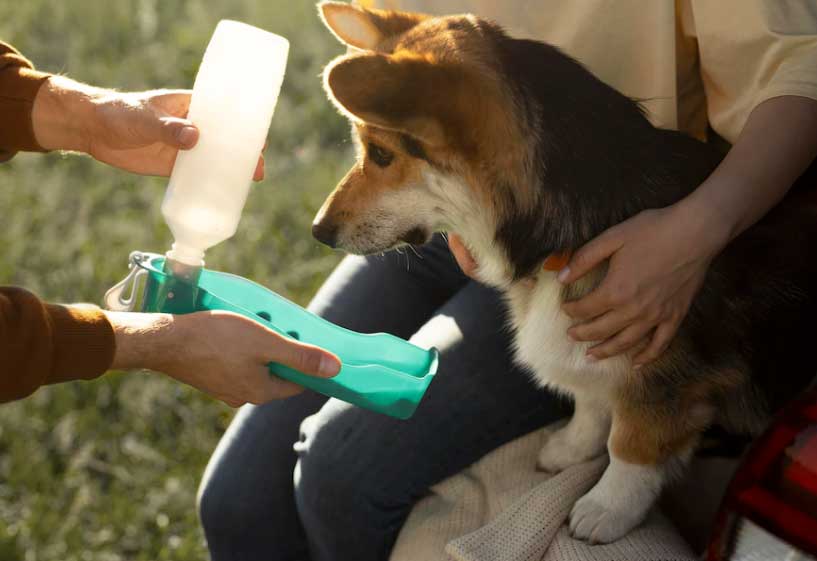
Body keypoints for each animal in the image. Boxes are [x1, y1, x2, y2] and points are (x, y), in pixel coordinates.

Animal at [310, 0, 816, 544]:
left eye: (382, 155)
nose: (319, 232)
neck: (570, 234)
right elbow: (591, 402)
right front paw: (570, 450)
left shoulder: (667, 376)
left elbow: (631, 444)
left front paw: (604, 510)